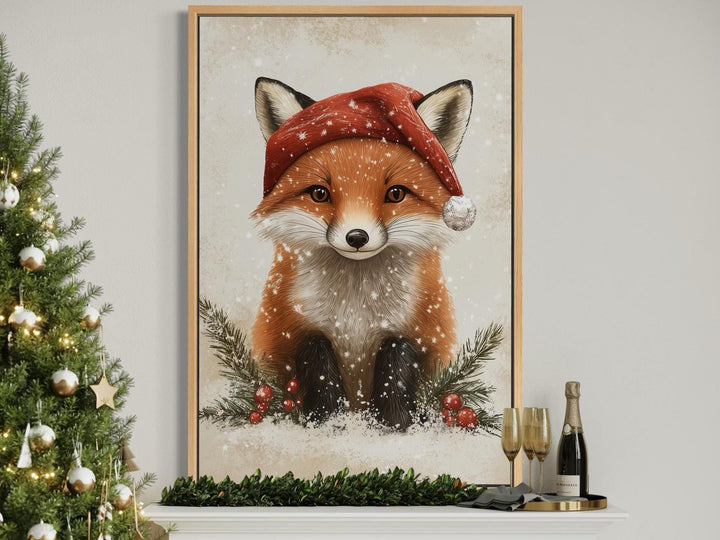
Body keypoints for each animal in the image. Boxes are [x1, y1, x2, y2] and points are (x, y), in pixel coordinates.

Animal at [250, 78, 475, 429]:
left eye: (395, 194)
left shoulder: (420, 332)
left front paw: (396, 424)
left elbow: (397, 364)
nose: (357, 236)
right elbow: (317, 362)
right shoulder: (288, 333)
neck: (356, 313)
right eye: (319, 193)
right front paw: (330, 423)